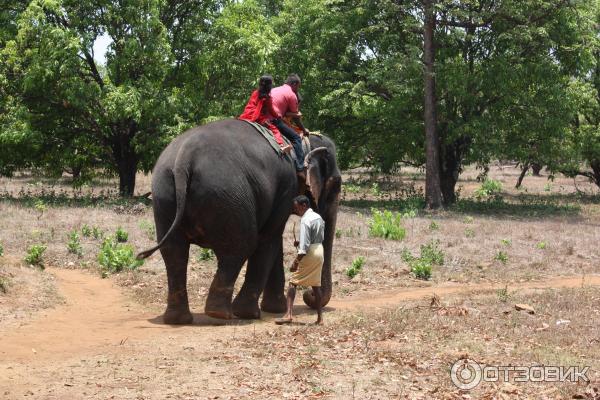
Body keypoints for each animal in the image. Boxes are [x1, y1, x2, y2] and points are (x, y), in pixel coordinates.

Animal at [137, 117, 342, 324]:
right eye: (336, 185)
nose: (309, 295)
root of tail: (183, 161)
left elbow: (273, 239)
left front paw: (275, 309)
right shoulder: (286, 186)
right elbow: (269, 238)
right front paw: (257, 312)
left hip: (164, 194)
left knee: (174, 251)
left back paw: (179, 319)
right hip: (226, 196)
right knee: (241, 246)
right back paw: (223, 314)